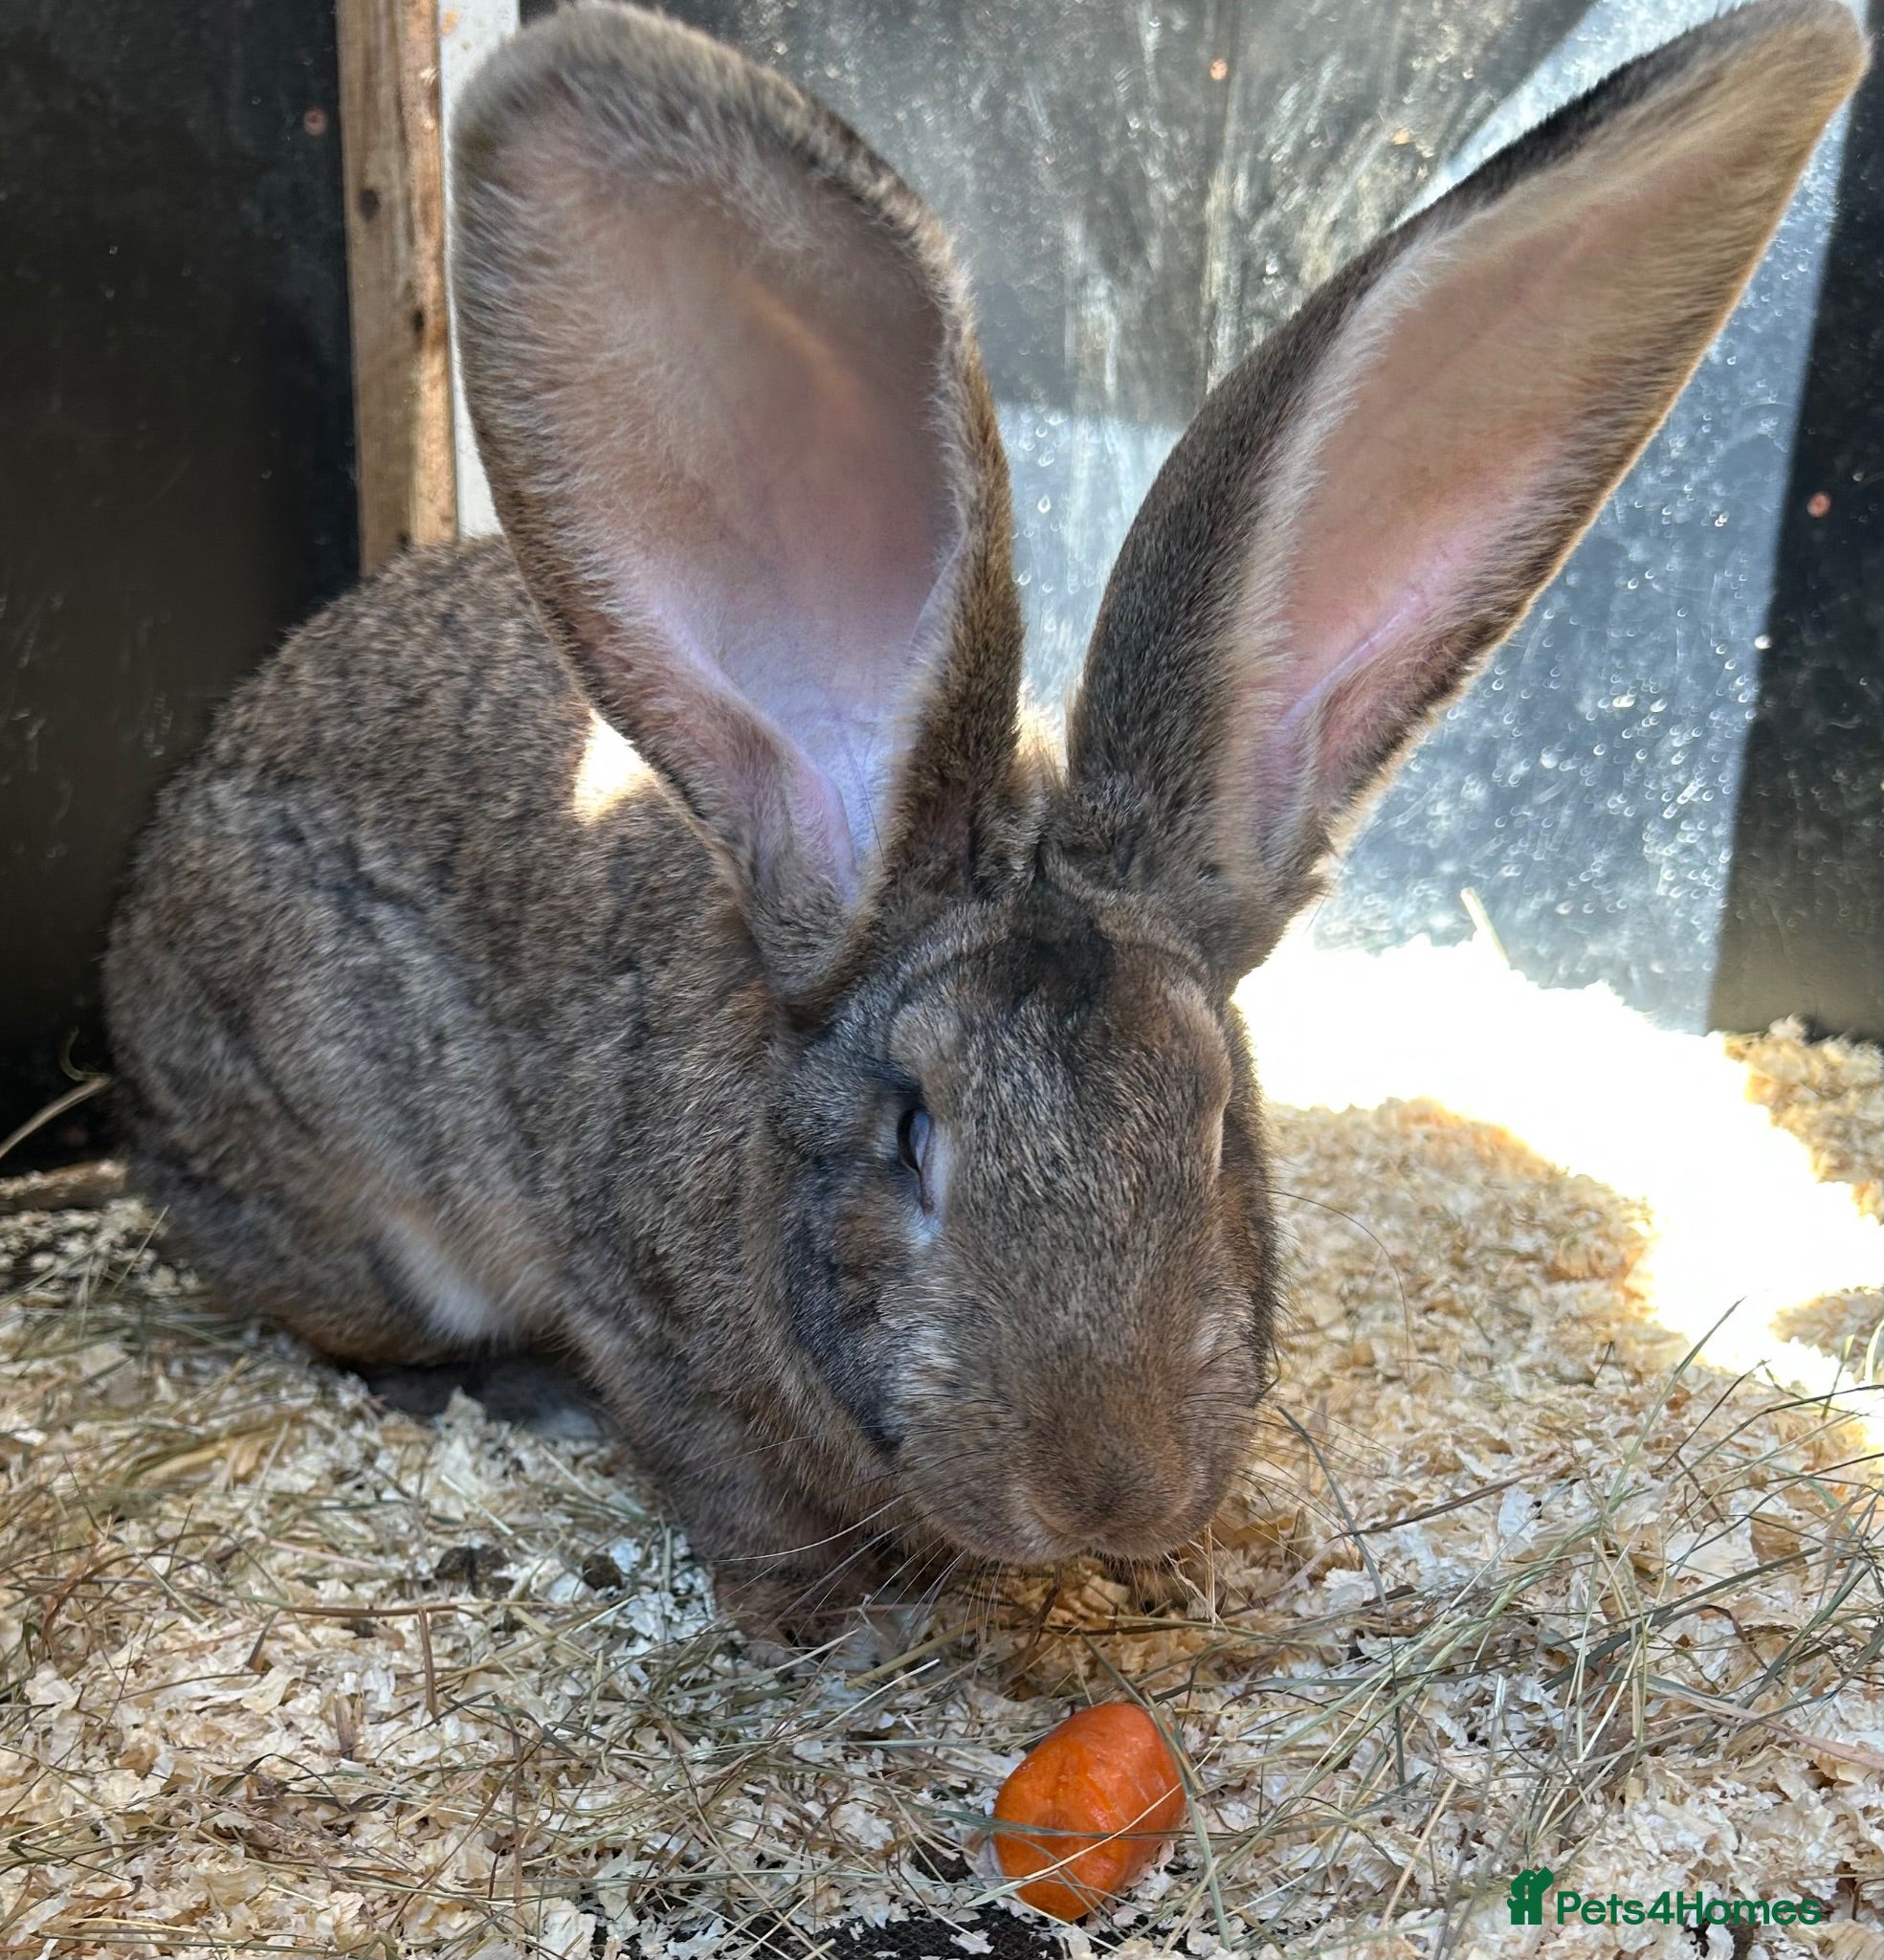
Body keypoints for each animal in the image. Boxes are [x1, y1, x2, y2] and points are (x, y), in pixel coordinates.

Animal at [105, 0, 1863, 1636]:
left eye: (1213, 1126)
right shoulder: (646, 1331)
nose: (1107, 1486)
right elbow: (725, 1486)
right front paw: (810, 1619)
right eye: (912, 1136)